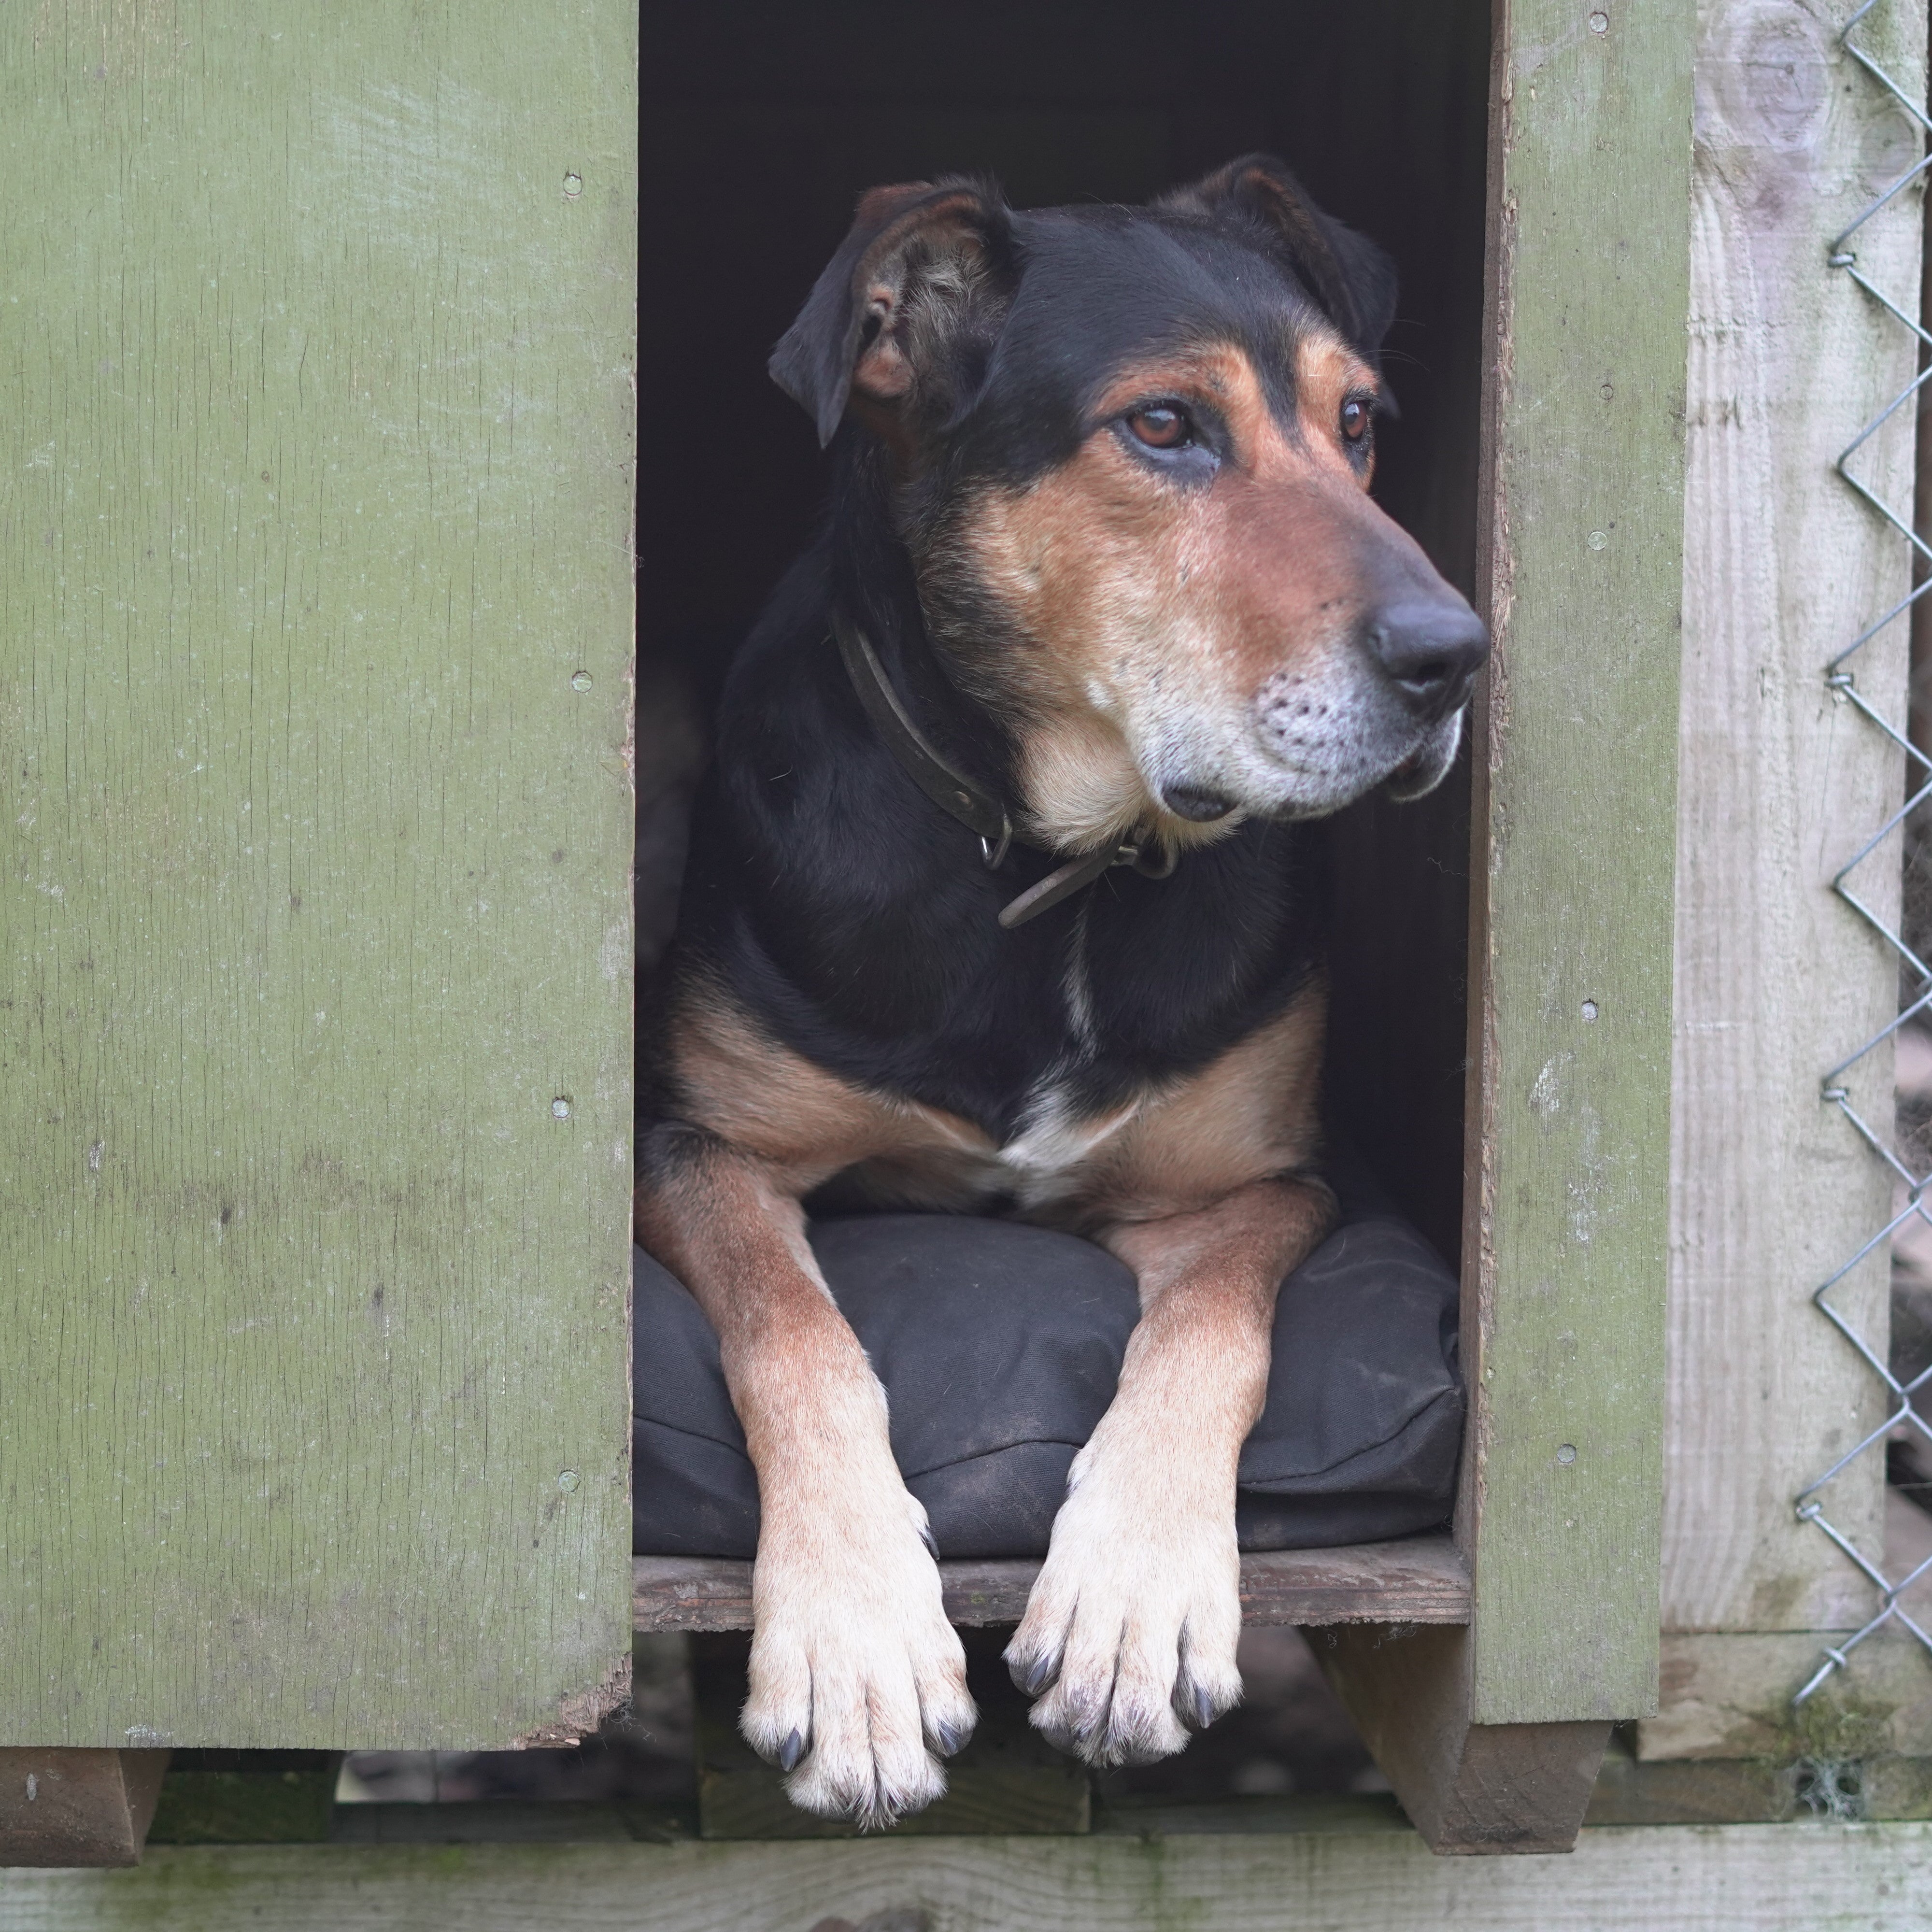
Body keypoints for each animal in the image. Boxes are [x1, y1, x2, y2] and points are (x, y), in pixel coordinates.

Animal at [641, 155, 1484, 1824]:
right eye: (1162, 427)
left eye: (1357, 422)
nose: (1456, 655)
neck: (1052, 866)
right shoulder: (693, 1148)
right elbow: (794, 1327)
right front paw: (854, 1647)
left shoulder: (1271, 1180)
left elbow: (1215, 1329)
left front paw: (1135, 1600)